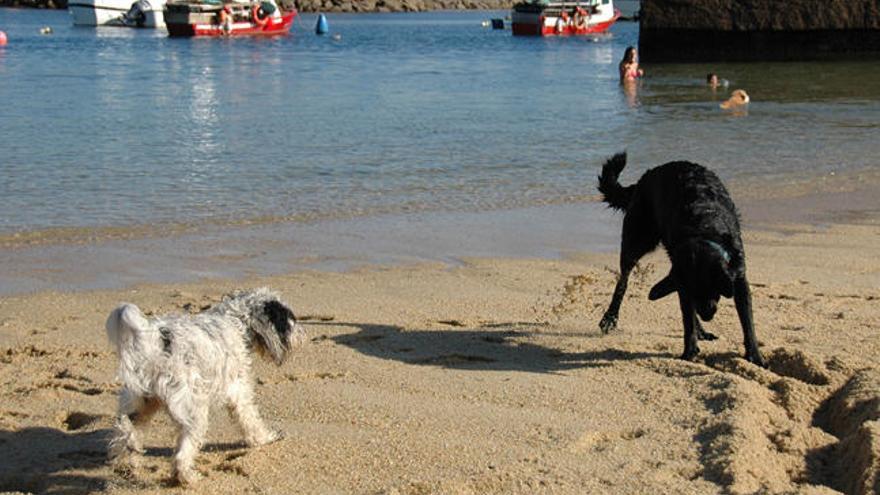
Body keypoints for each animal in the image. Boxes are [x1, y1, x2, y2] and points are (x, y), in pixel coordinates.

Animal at [105, 288, 306, 486]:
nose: (303, 334)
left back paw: (127, 464)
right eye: (289, 319)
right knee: (181, 454)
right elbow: (250, 419)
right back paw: (187, 477)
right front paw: (264, 438)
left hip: (139, 402)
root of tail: (155, 343)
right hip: (193, 412)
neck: (237, 322)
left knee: (126, 431)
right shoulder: (238, 390)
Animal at [600, 153, 764, 366]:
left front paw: (755, 356)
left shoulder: (738, 275)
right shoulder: (685, 284)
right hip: (637, 239)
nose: (707, 315)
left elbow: (747, 320)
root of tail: (646, 176)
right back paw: (610, 318)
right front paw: (689, 352)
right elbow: (687, 319)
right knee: (623, 280)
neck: (703, 231)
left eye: (712, 288)